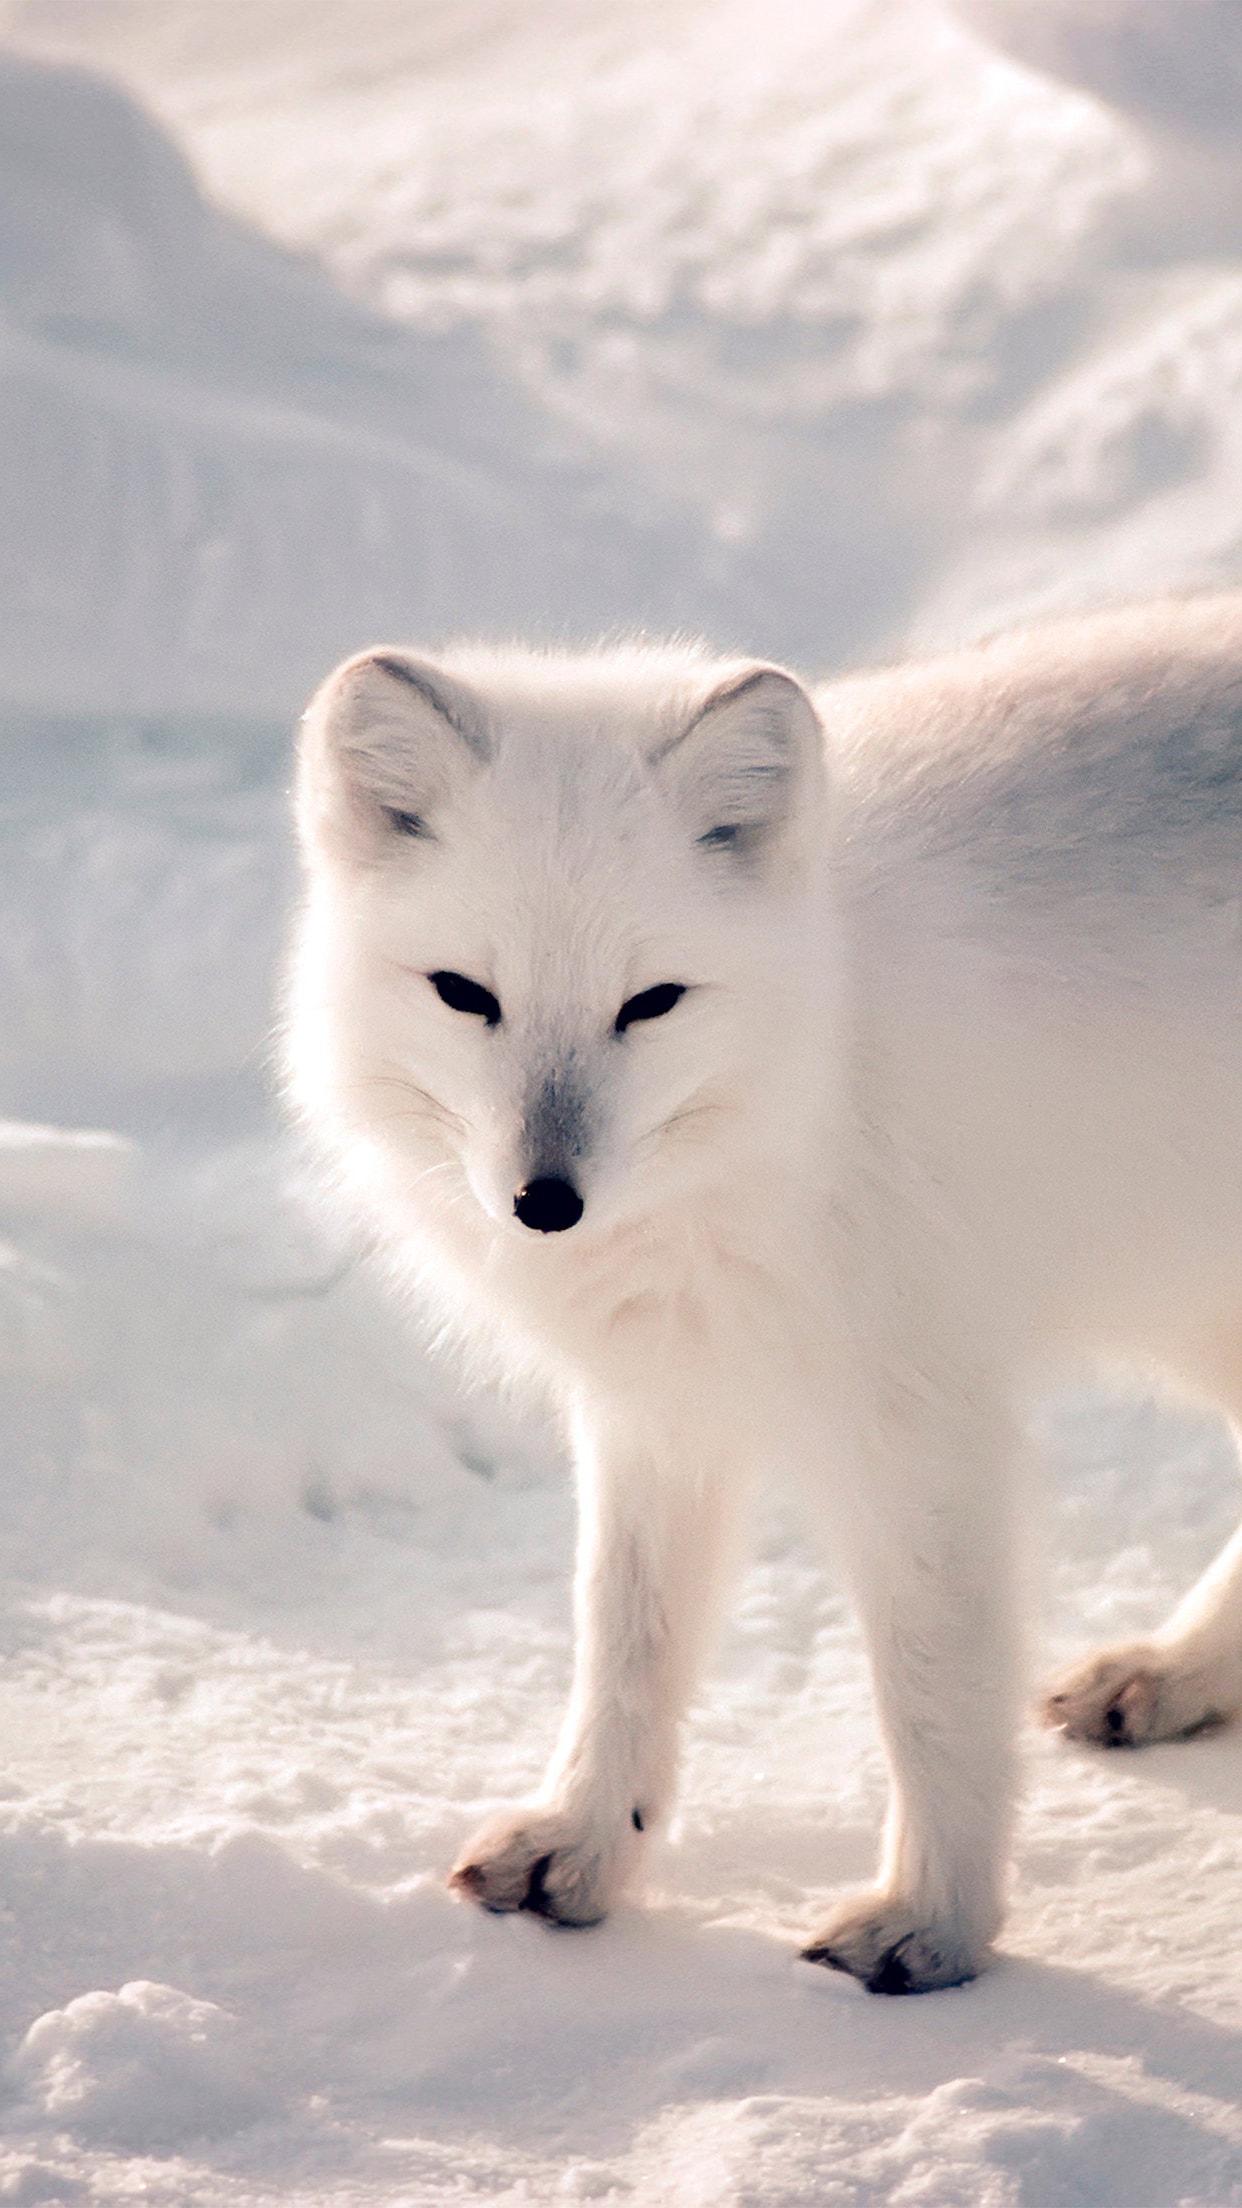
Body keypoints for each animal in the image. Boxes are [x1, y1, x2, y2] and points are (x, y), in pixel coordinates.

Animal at [285, 595, 1242, 1994]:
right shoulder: (659, 1403)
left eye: (652, 1003)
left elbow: (931, 1686)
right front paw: (587, 1846)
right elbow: (624, 1640)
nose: (544, 1203)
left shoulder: (919, 1425)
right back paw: (1177, 1673)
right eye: (466, 995)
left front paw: (934, 1925)